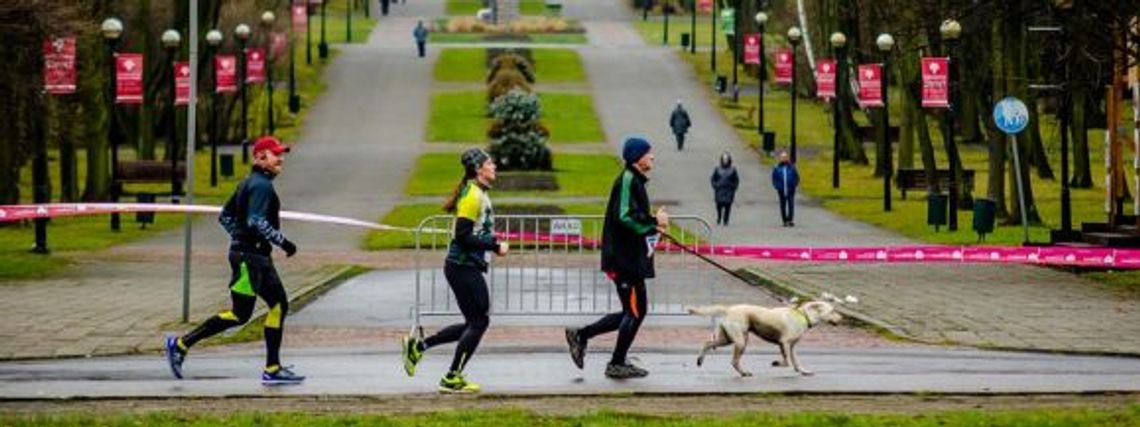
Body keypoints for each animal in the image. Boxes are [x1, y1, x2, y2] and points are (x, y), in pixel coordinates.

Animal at [679, 300, 843, 378]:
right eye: (833, 311)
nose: (842, 319)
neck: (803, 315)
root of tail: (729, 309)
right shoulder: (784, 343)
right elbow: (787, 362)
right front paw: (776, 363)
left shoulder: (791, 347)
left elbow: (795, 362)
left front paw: (804, 372)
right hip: (740, 341)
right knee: (734, 361)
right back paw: (744, 373)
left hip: (727, 339)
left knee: (707, 343)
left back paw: (700, 360)